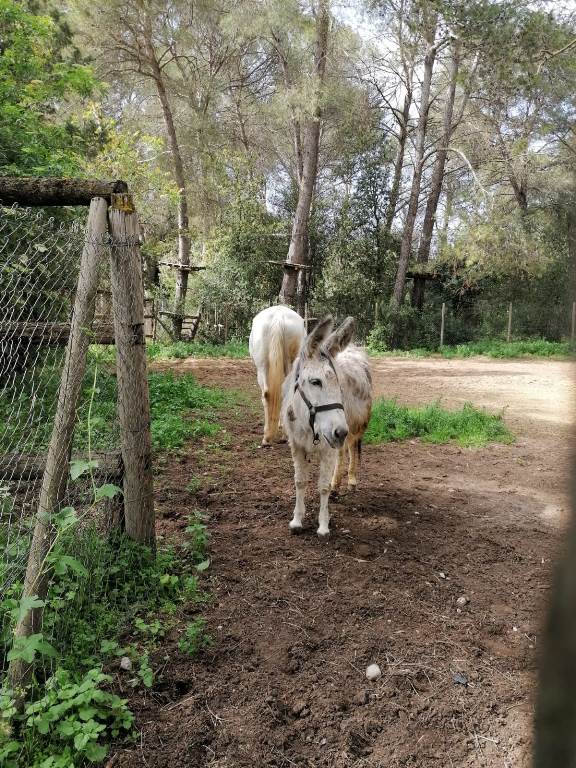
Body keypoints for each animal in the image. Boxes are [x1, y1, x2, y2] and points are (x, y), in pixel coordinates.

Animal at [281, 315, 372, 537]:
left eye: (340, 384)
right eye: (315, 382)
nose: (339, 431)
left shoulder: (328, 446)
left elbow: (322, 487)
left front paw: (323, 526)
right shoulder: (297, 445)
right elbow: (299, 481)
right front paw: (297, 520)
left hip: (356, 427)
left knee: (352, 448)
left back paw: (350, 480)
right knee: (342, 452)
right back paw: (337, 483)